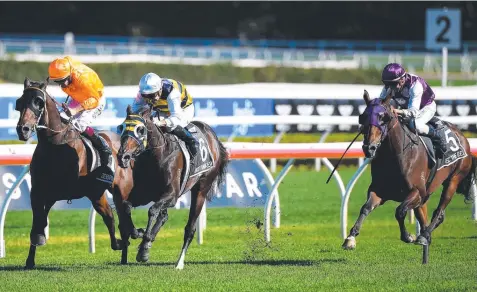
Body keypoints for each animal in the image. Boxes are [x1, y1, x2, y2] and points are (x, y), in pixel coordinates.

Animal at [15, 77, 135, 270]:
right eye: (19, 102)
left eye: (39, 102)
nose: (23, 129)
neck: (55, 145)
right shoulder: (39, 190)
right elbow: (39, 219)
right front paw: (31, 256)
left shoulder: (62, 190)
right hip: (96, 193)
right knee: (109, 215)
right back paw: (120, 247)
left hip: (120, 190)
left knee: (122, 215)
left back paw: (127, 242)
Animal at [114, 104, 228, 270]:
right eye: (121, 127)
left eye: (140, 130)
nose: (123, 157)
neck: (156, 156)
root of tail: (213, 137)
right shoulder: (144, 194)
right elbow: (127, 206)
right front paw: (138, 233)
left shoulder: (172, 195)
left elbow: (152, 210)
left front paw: (144, 241)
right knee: (164, 216)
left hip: (201, 189)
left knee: (189, 228)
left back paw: (179, 262)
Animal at [340, 90, 474, 264]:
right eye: (362, 116)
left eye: (384, 117)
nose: (369, 147)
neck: (395, 155)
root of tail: (462, 136)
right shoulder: (379, 191)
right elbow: (366, 208)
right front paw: (350, 238)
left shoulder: (416, 192)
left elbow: (400, 211)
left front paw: (409, 236)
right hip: (426, 195)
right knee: (429, 216)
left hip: (453, 180)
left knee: (439, 210)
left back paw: (424, 236)